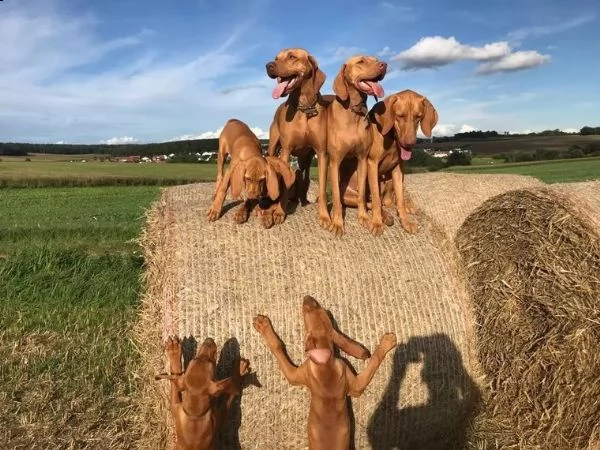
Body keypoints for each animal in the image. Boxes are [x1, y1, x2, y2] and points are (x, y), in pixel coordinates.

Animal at [253, 296, 398, 450]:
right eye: (321, 309)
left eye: (306, 312)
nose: (307, 297)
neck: (325, 363)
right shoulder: (352, 382)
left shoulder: (296, 374)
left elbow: (277, 346)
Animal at [264, 48, 330, 229]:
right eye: (276, 58)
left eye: (292, 57)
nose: (268, 65)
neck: (305, 108)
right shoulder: (286, 151)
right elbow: (284, 185)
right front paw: (280, 212)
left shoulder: (321, 153)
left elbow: (322, 187)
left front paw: (324, 216)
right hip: (273, 148)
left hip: (304, 159)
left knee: (304, 178)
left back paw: (303, 201)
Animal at [324, 55, 390, 237]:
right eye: (361, 61)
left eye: (375, 59)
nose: (384, 65)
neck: (353, 112)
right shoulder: (335, 162)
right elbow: (337, 199)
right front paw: (337, 223)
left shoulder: (362, 159)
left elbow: (362, 195)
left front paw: (364, 218)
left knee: (370, 201)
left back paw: (385, 216)